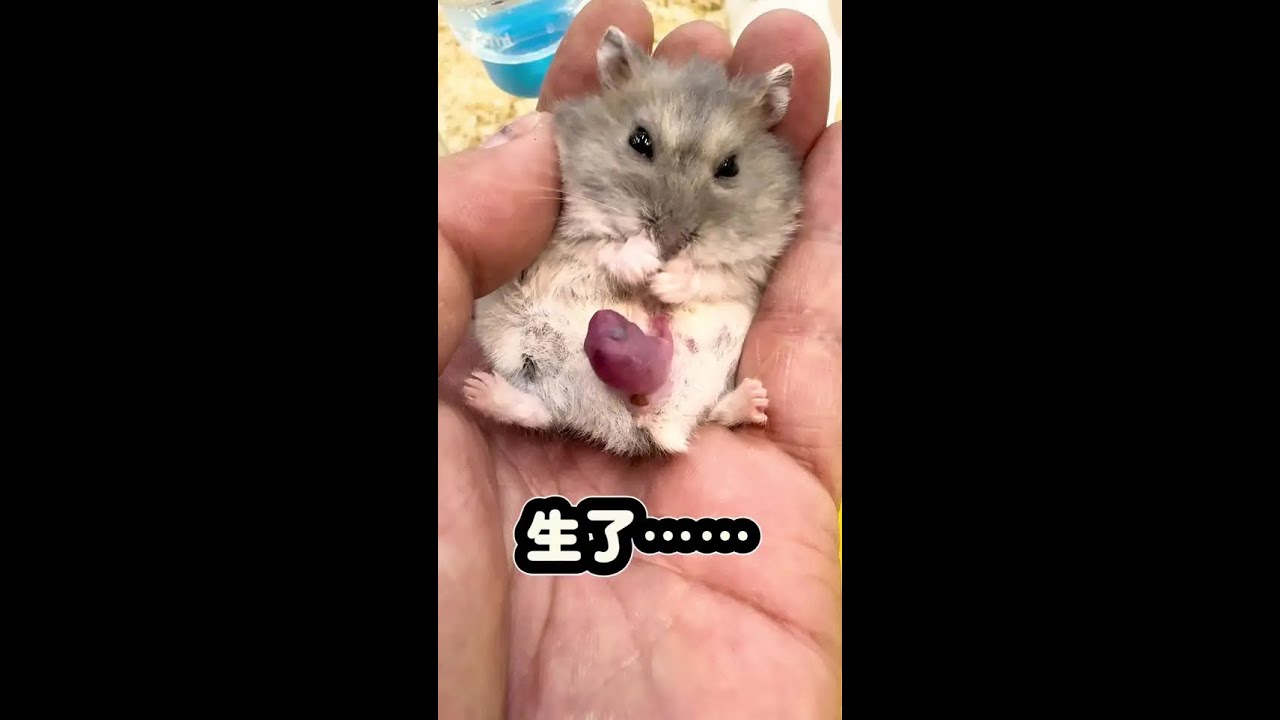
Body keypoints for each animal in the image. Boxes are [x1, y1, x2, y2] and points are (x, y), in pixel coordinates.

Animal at [463, 26, 803, 457]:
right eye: (639, 141)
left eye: (731, 167)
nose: (669, 245)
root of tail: (645, 412)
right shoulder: (563, 232)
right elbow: (604, 248)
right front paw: (644, 262)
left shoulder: (754, 265)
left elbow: (709, 274)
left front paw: (664, 282)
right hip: (526, 358)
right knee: (540, 413)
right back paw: (477, 389)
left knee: (712, 413)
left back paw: (754, 399)